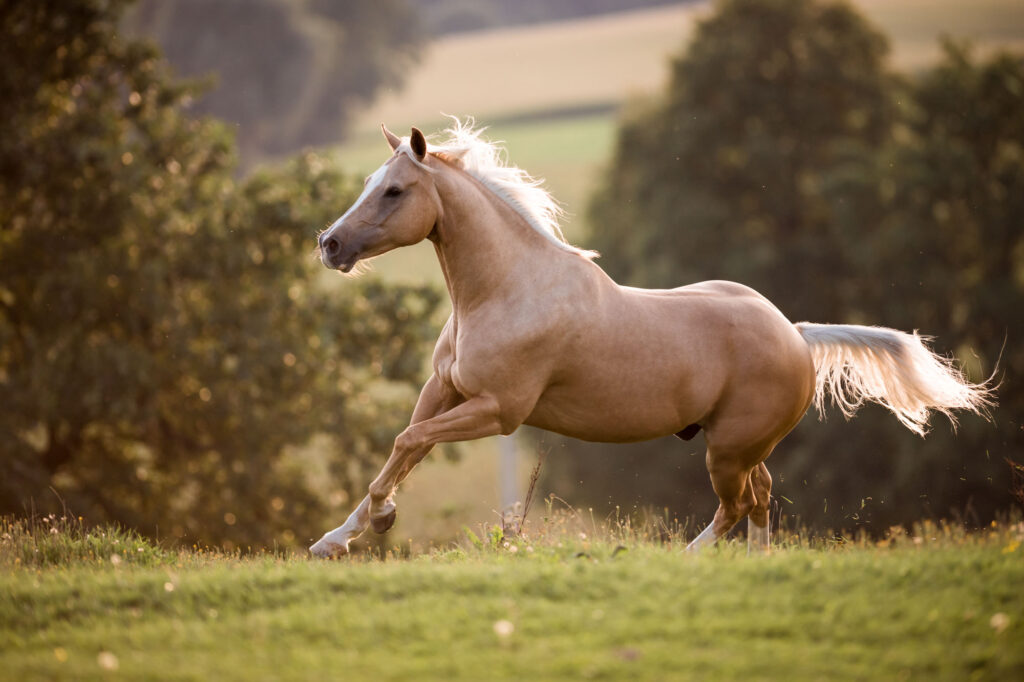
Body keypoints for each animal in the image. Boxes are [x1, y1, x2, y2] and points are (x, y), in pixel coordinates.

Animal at [309, 120, 992, 557]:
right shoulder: (444, 392)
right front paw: (335, 539)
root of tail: (795, 334)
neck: (506, 291)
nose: (330, 245)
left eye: (395, 190)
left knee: (735, 507)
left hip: (727, 451)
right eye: (369, 182)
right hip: (744, 447)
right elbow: (405, 447)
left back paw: (687, 561)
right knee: (763, 498)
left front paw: (380, 521)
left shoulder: (497, 411)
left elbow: (407, 443)